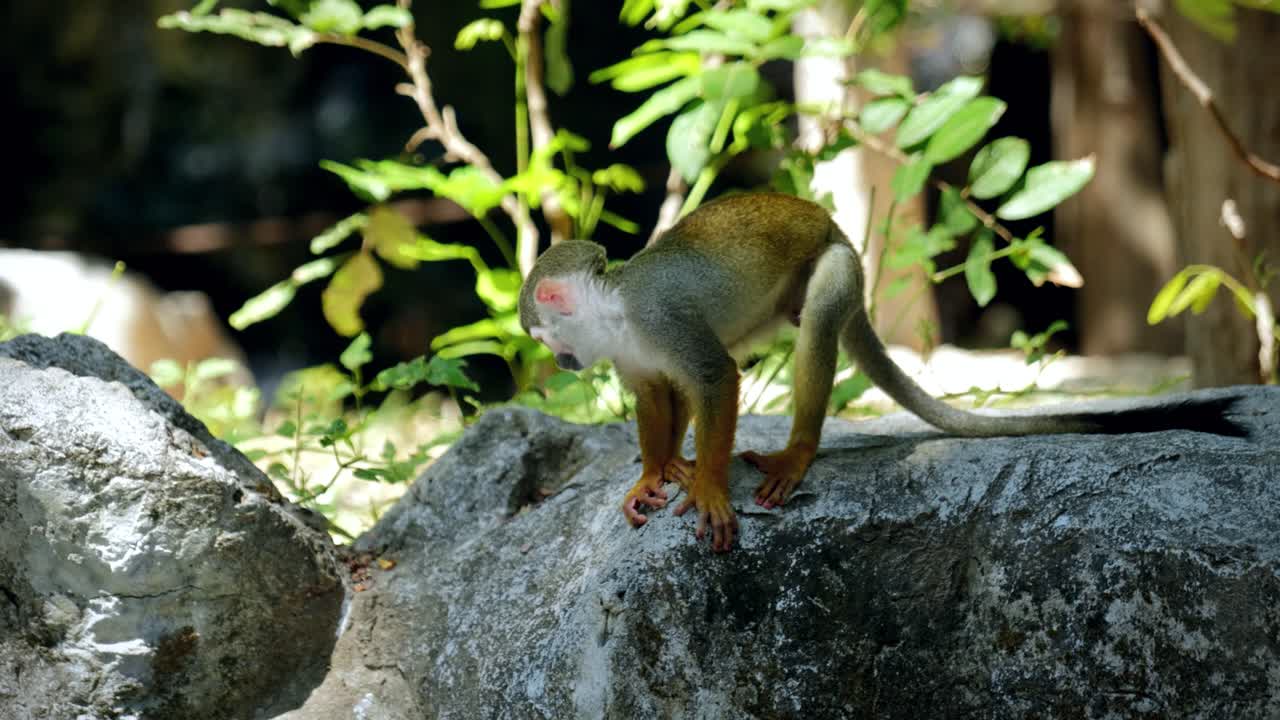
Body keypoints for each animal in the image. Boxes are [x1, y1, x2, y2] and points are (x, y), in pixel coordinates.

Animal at [518, 192, 1246, 552]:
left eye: (540, 333)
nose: (557, 359)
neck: (617, 312)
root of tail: (835, 226)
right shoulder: (629, 350)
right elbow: (655, 392)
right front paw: (655, 472)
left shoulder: (659, 314)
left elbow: (715, 376)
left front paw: (709, 489)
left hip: (841, 263)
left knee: (816, 318)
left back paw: (797, 452)